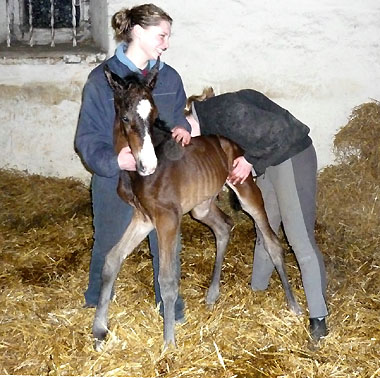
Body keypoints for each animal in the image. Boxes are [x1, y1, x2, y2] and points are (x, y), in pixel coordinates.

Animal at [93, 60, 302, 350]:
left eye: (154, 115)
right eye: (125, 118)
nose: (149, 165)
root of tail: (229, 142)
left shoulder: (168, 219)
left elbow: (167, 279)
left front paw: (169, 343)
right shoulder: (144, 217)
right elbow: (112, 260)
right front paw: (99, 330)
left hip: (247, 190)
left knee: (272, 243)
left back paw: (293, 305)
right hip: (200, 207)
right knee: (224, 226)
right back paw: (213, 294)